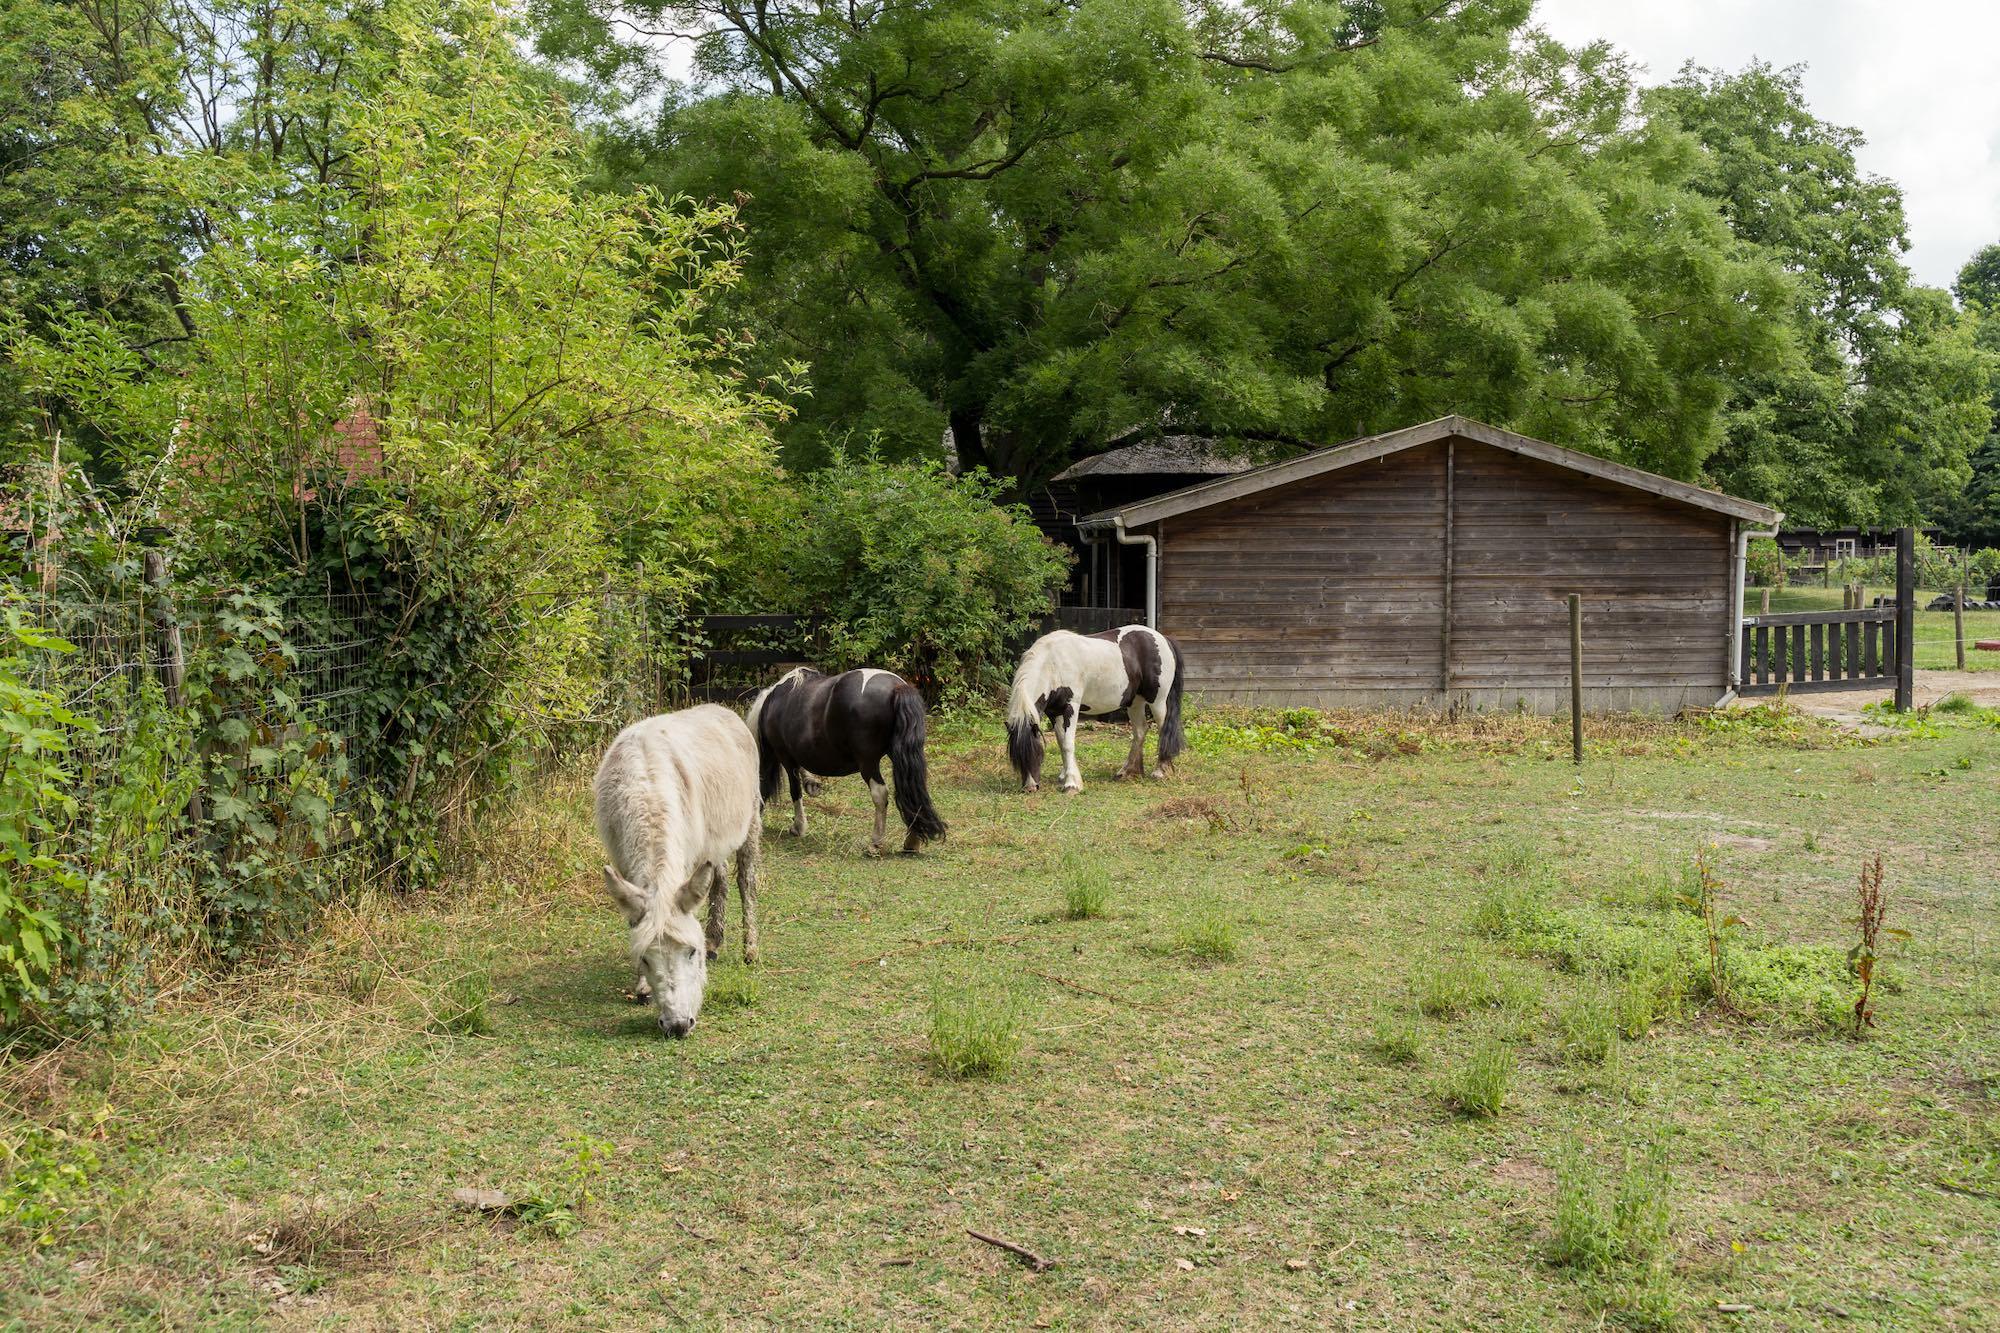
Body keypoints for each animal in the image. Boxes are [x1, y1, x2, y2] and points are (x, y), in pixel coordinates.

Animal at [588, 700, 760, 1032]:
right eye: (644, 958)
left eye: (692, 953)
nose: (678, 1025)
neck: (646, 792)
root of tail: (722, 708)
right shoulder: (626, 871)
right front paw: (642, 987)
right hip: (714, 844)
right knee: (719, 880)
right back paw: (716, 941)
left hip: (750, 823)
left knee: (746, 882)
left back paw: (750, 949)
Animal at [748, 664, 948, 852]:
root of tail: (897, 688)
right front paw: (811, 785)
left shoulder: (786, 757)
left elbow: (794, 791)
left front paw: (798, 826)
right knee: (911, 788)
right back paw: (912, 841)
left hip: (868, 763)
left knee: (880, 794)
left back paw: (876, 843)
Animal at [1000, 624, 1184, 788]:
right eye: (1015, 756)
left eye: (1036, 752)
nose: (1030, 787)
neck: (1053, 664)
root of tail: (1163, 639)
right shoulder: (1055, 712)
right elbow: (1061, 743)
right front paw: (1066, 776)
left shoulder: (1071, 708)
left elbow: (1068, 743)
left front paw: (1071, 784)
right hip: (1135, 702)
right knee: (1140, 731)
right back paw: (1127, 772)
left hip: (1157, 701)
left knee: (1163, 730)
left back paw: (1161, 771)